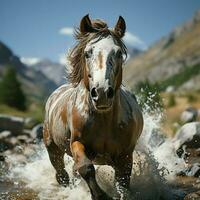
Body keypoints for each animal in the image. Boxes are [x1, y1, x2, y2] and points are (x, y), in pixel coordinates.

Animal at [43, 14, 144, 199]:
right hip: (53, 149)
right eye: (87, 53)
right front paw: (100, 195)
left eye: (119, 53)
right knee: (62, 174)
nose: (102, 93)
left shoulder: (125, 155)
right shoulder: (77, 143)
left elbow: (123, 183)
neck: (104, 121)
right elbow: (86, 168)